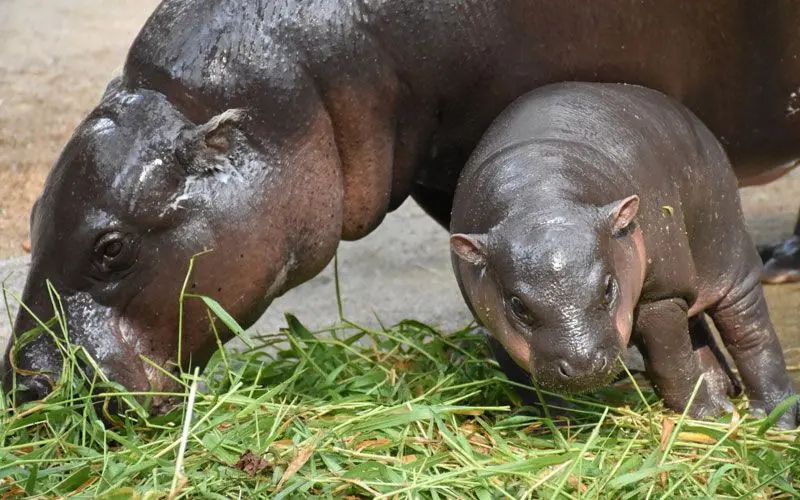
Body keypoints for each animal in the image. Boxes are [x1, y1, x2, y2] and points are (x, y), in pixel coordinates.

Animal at [449, 82, 798, 426]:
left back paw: (773, 417)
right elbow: (530, 386)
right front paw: (560, 427)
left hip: (728, 256)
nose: (583, 366)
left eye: (608, 288)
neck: (540, 198)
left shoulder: (659, 297)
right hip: (686, 277)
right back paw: (726, 401)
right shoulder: (491, 325)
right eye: (518, 306)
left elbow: (672, 363)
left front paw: (702, 416)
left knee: (750, 333)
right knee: (698, 330)